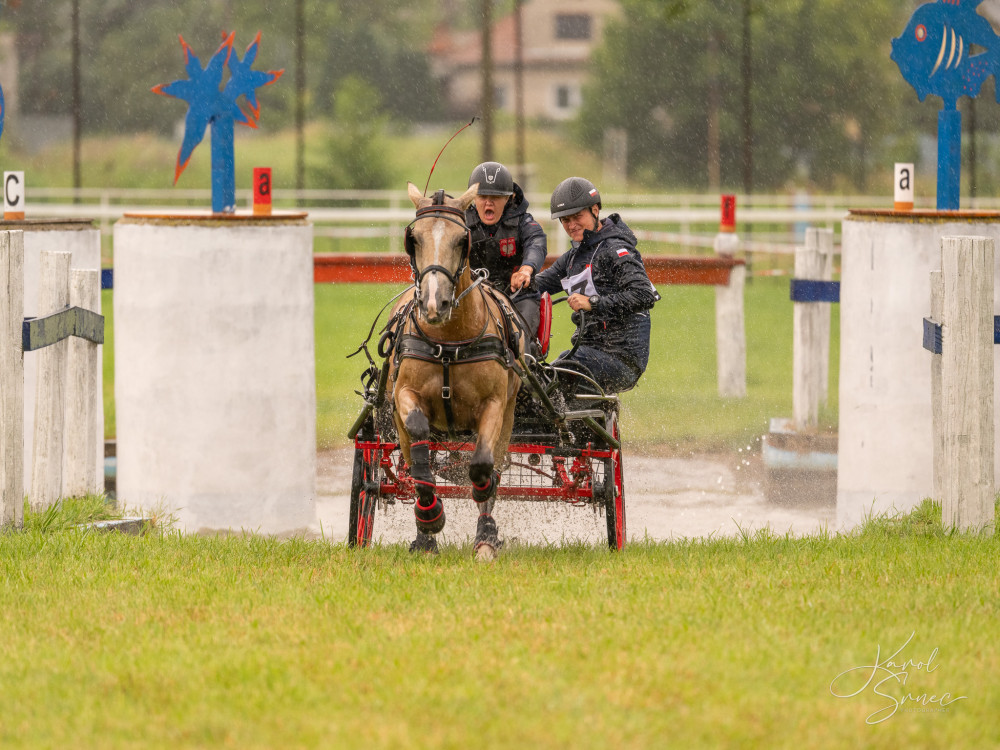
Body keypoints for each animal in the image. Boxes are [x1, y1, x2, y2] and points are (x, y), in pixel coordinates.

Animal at [384, 182, 524, 560]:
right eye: (413, 239)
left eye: (463, 239)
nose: (434, 304)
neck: (448, 343)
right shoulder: (404, 395)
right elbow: (419, 450)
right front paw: (430, 516)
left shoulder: (494, 405)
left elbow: (482, 465)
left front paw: (484, 513)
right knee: (414, 461)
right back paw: (425, 536)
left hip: (509, 414)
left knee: (494, 464)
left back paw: (485, 537)